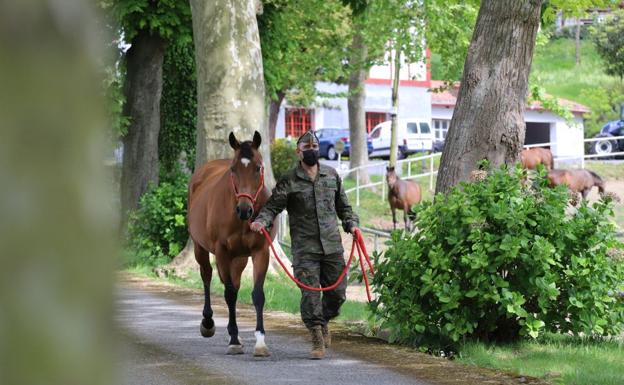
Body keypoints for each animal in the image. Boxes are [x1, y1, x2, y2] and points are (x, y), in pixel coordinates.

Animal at [186, 130, 276, 356]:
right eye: (233, 169)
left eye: (258, 167)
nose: (244, 210)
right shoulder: (222, 252)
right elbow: (229, 295)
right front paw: (234, 339)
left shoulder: (260, 251)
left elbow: (257, 294)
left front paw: (260, 341)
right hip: (200, 248)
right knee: (207, 275)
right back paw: (208, 322)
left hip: (240, 258)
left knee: (234, 282)